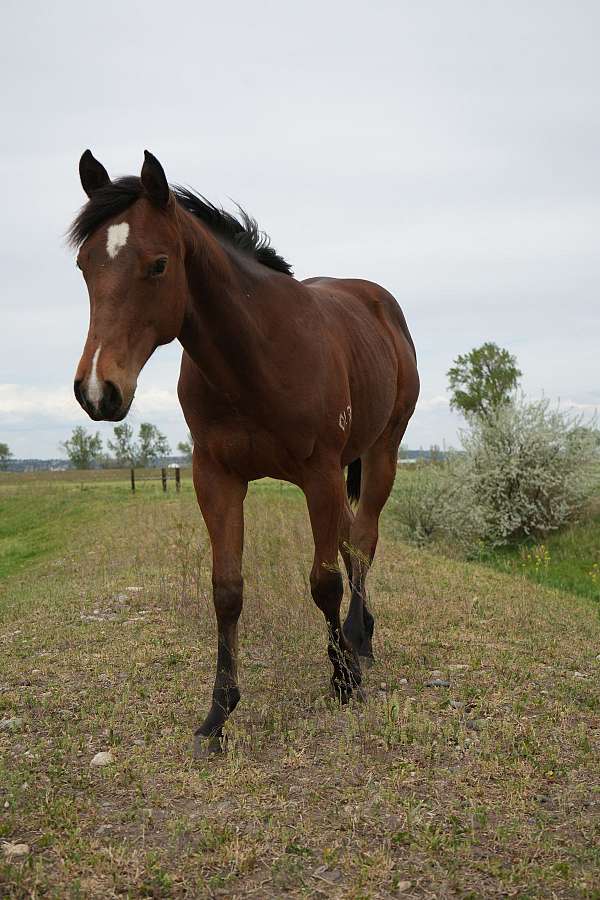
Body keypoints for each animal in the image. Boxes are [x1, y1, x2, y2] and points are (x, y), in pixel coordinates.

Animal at [69, 150, 419, 756]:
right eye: (84, 265)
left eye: (158, 265)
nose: (97, 390)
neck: (257, 356)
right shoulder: (216, 478)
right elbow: (227, 591)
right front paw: (217, 714)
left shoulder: (320, 476)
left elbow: (324, 581)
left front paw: (342, 680)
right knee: (352, 540)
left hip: (382, 453)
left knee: (362, 543)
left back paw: (360, 643)